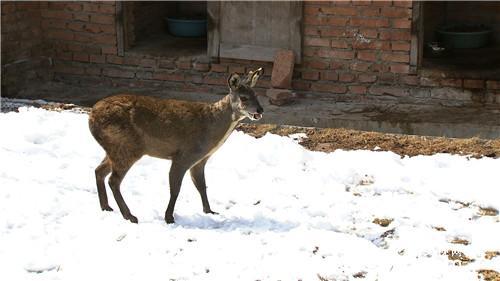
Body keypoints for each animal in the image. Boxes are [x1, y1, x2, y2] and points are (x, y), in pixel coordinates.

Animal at [88, 68, 266, 223]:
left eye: (256, 94)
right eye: (243, 97)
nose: (260, 109)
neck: (210, 129)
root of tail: (91, 117)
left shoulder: (200, 159)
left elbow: (202, 186)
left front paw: (209, 211)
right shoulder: (185, 155)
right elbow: (175, 188)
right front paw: (169, 217)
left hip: (115, 148)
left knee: (99, 171)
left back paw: (106, 207)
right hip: (127, 146)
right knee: (113, 180)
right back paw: (130, 216)